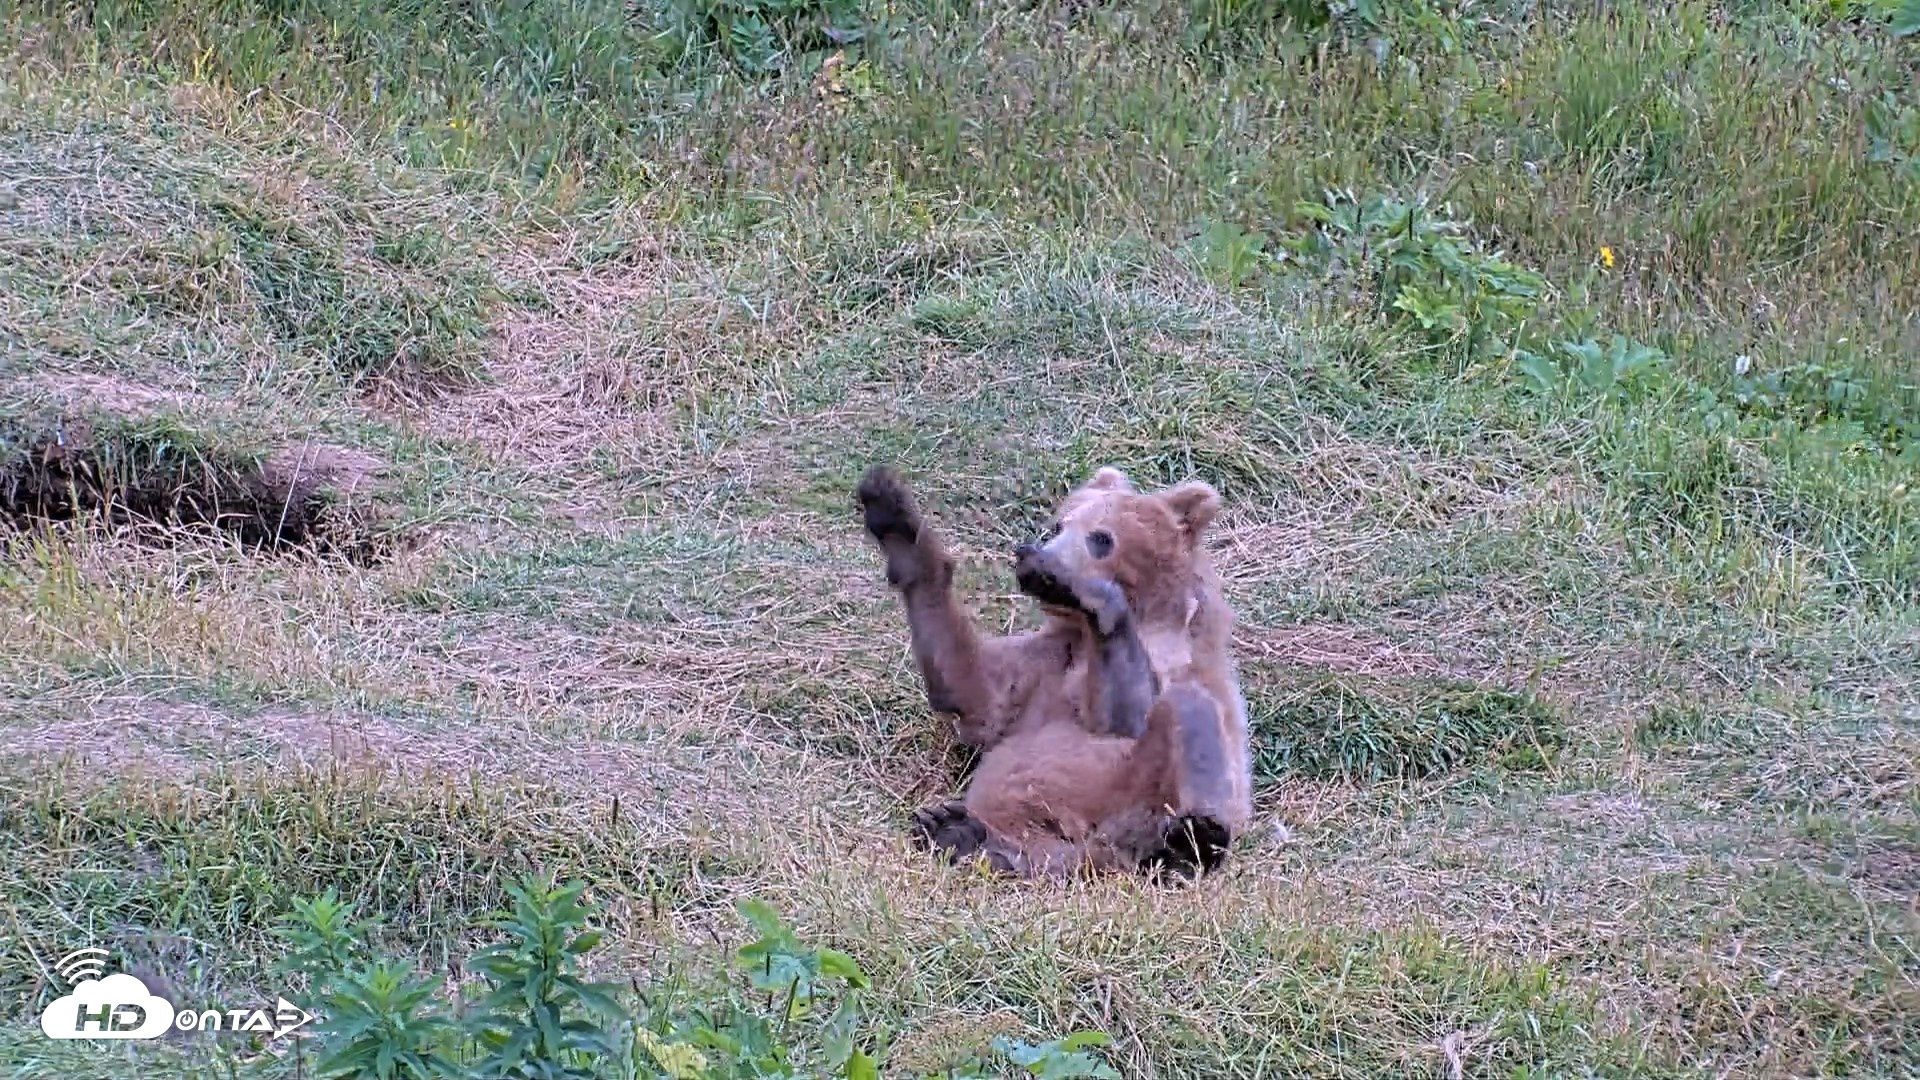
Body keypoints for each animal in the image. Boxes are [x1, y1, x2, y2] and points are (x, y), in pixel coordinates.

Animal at [855, 463, 1254, 881]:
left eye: (1101, 537)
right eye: (1059, 525)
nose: (1035, 553)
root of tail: (1096, 851)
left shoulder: (1170, 654)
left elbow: (1128, 716)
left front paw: (1087, 591)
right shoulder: (1044, 664)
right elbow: (971, 688)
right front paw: (895, 518)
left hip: (1140, 800)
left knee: (1189, 718)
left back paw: (1192, 842)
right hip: (1040, 834)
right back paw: (958, 831)